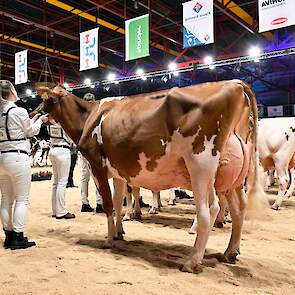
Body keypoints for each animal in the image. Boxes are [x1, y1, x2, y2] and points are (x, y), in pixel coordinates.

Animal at [37, 80, 262, 272]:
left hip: (201, 166)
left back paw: (191, 261)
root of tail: (235, 84)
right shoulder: (118, 172)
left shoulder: (96, 165)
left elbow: (109, 204)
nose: (35, 113)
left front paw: (108, 240)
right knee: (238, 209)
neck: (89, 116)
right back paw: (230, 252)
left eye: (45, 99)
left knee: (208, 211)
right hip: (232, 175)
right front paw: (119, 232)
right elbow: (118, 202)